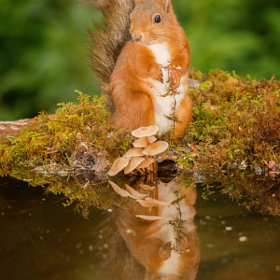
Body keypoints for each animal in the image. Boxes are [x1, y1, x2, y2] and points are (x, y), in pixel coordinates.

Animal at [88, 0, 192, 138]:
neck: (157, 43)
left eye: (157, 19)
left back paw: (172, 138)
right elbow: (141, 65)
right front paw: (154, 71)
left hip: (185, 108)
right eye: (131, 17)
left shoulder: (181, 42)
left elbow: (184, 60)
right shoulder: (135, 53)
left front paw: (175, 75)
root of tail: (116, 117)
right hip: (139, 103)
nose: (137, 36)